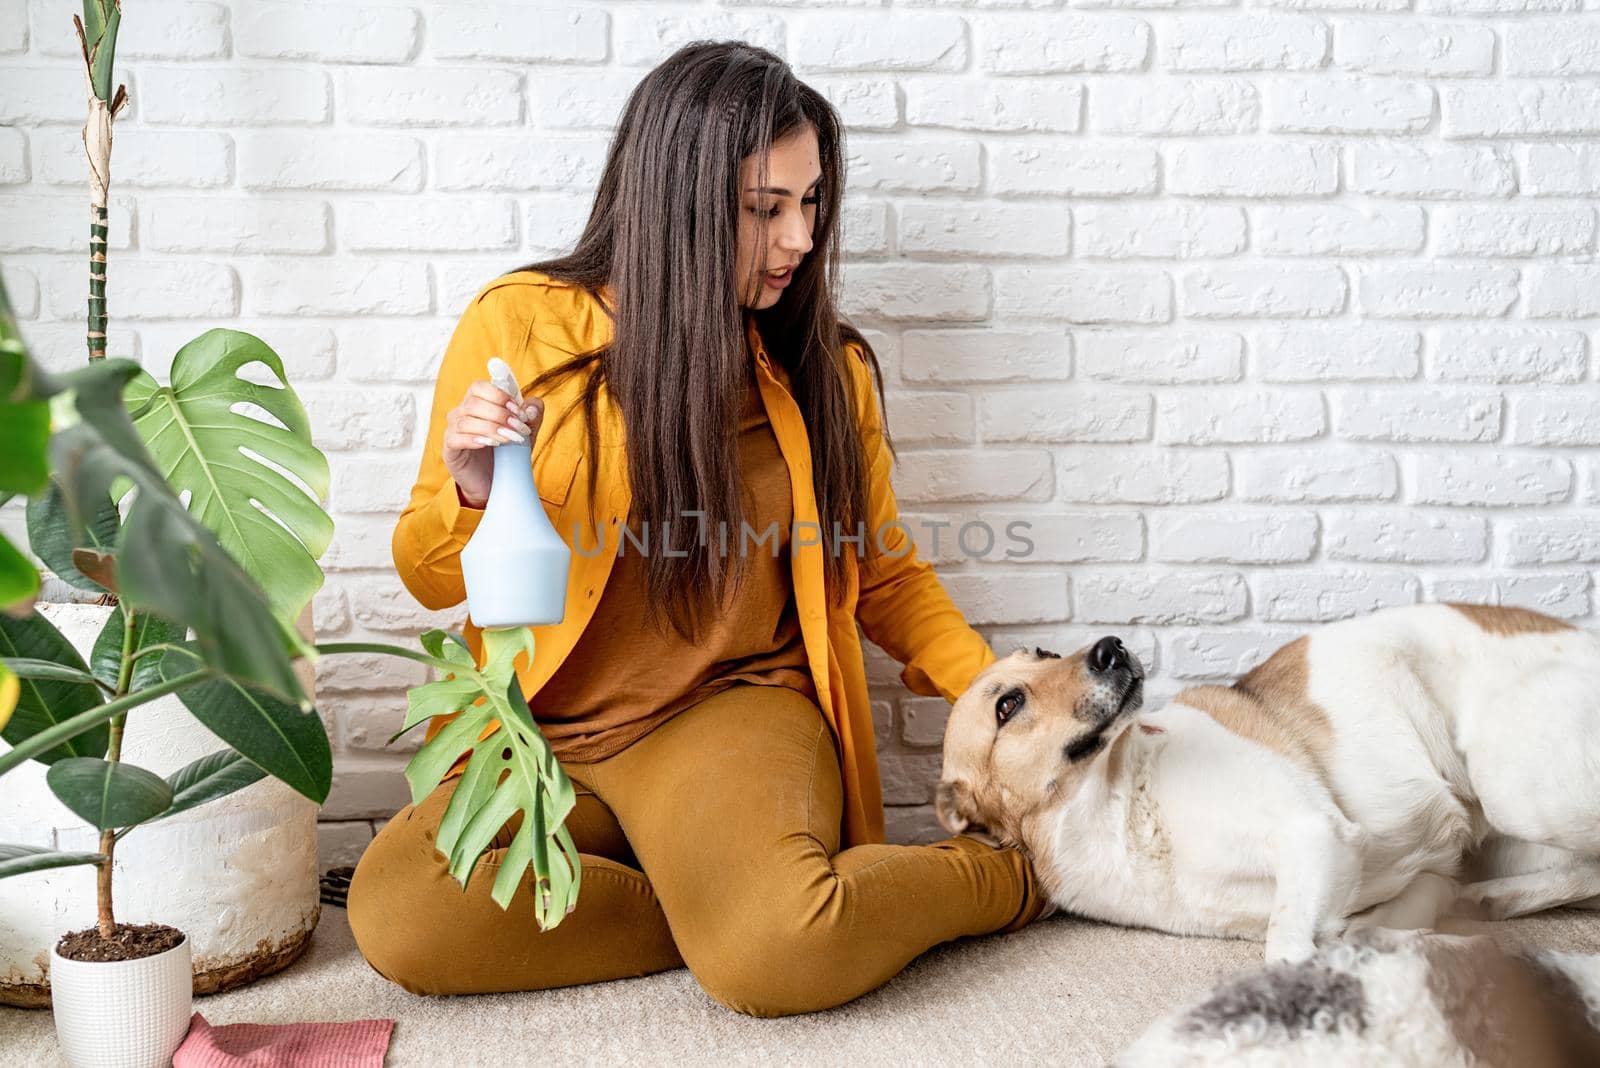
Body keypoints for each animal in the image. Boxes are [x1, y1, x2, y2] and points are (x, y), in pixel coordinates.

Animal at [934, 604, 1600, 965]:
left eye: (1046, 653)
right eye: (1009, 705)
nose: (1111, 648)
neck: (1125, 811)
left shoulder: (1315, 831)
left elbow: (1286, 949)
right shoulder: (1431, 878)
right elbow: (1361, 926)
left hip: (1517, 788)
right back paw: (1493, 902)